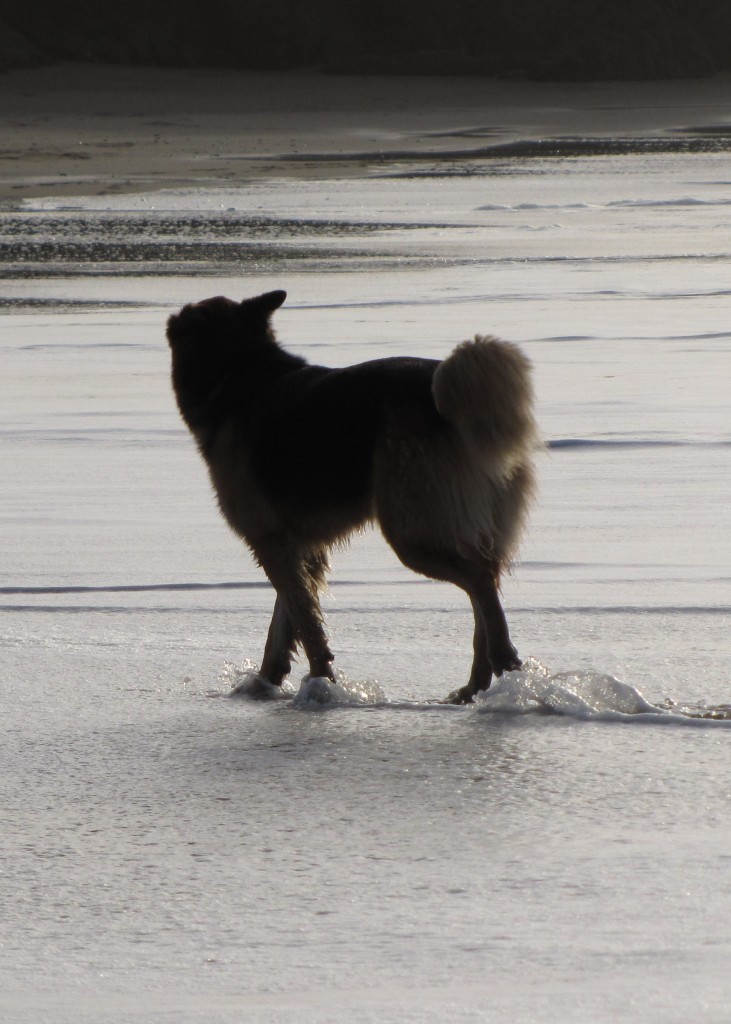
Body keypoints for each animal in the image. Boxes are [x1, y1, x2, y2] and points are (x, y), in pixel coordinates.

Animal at [167, 290, 536, 704]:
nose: (171, 319)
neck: (241, 369)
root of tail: (446, 394)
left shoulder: (272, 544)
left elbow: (303, 622)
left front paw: (319, 683)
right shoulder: (297, 547)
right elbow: (287, 621)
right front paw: (269, 680)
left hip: (412, 532)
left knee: (480, 582)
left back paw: (503, 659)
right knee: (484, 589)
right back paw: (475, 684)